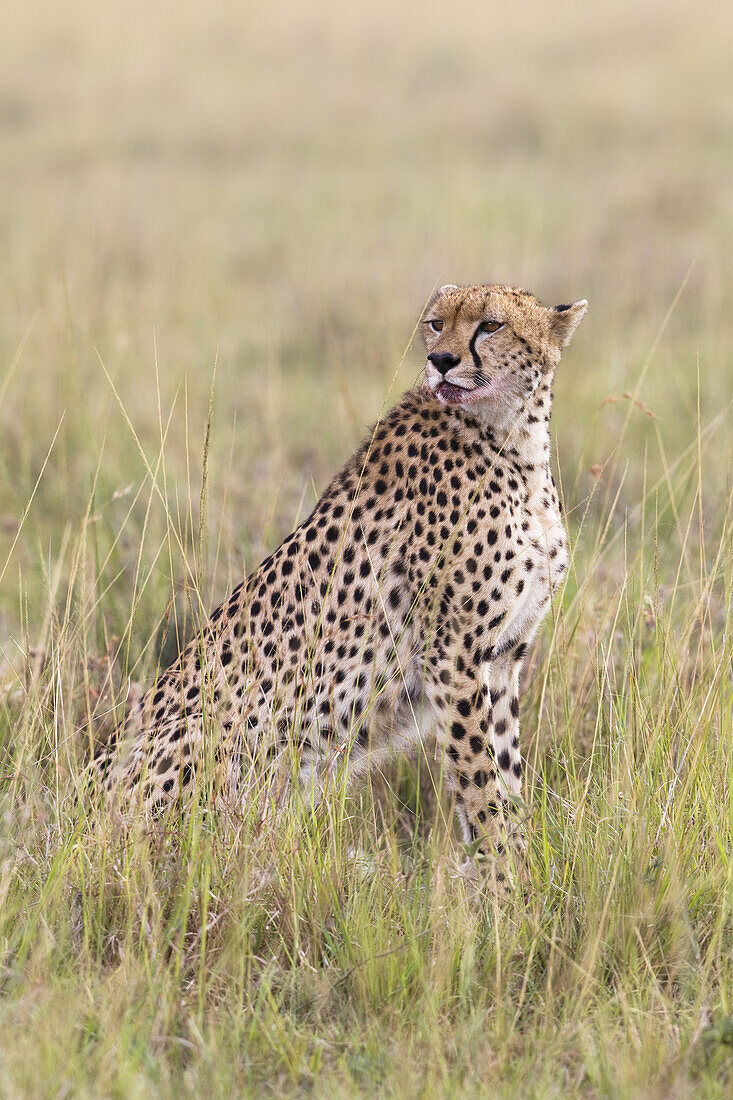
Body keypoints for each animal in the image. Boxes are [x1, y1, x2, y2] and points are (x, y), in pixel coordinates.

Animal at [88, 286, 585, 884]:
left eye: (491, 325)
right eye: (435, 323)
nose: (441, 359)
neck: (514, 440)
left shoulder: (503, 654)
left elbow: (506, 772)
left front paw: (524, 871)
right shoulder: (453, 653)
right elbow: (480, 781)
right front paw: (503, 884)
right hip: (211, 731)